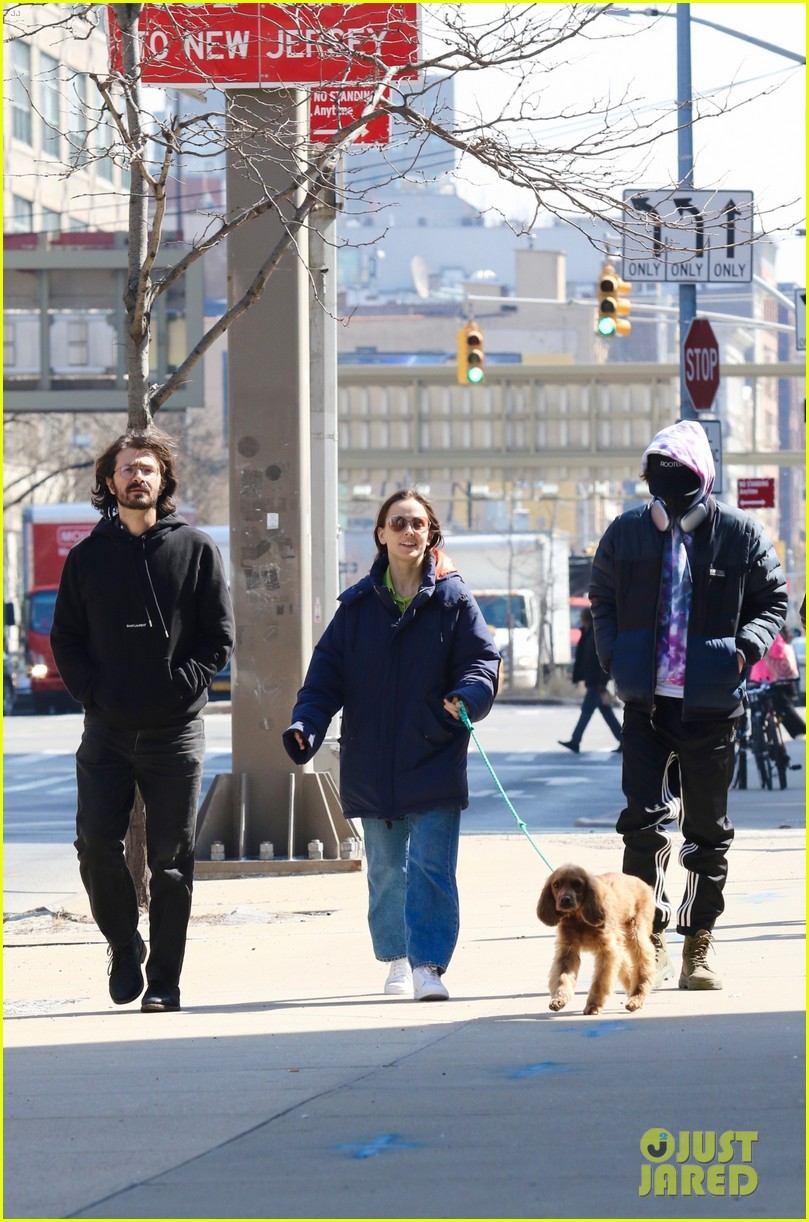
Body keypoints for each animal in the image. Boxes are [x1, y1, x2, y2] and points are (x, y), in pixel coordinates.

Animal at [537, 865, 659, 1016]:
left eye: (577, 884)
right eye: (556, 885)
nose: (565, 900)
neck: (578, 918)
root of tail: (644, 884)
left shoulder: (607, 950)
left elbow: (600, 981)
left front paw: (593, 1005)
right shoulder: (567, 951)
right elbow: (562, 976)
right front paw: (559, 999)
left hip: (635, 934)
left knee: (643, 964)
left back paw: (636, 997)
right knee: (627, 966)